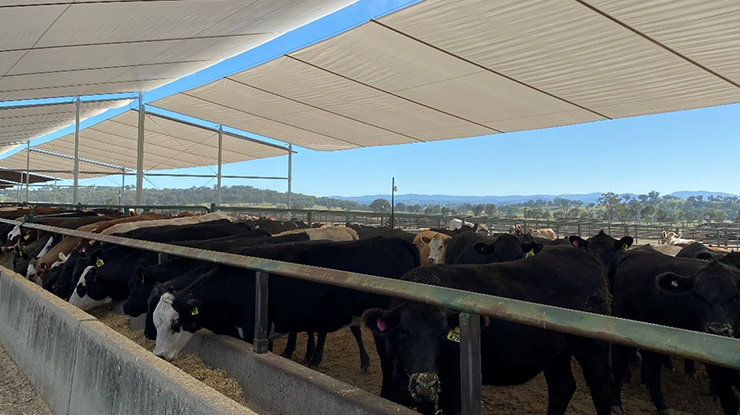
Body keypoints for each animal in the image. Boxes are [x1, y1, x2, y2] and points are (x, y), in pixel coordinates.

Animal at [364, 249, 612, 414]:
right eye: (402, 333)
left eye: (443, 334)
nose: (426, 383)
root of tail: (580, 254)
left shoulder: (453, 385)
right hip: (557, 354)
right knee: (562, 388)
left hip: (594, 350)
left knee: (601, 391)